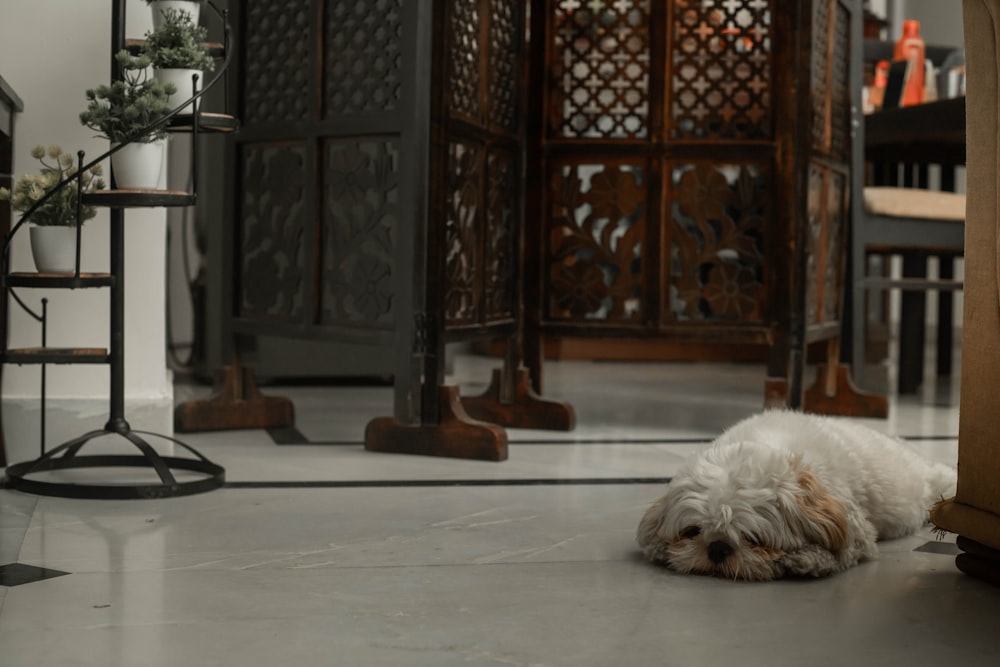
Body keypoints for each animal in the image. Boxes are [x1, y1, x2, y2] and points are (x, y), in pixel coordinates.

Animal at [636, 412, 956, 580]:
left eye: (754, 539)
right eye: (691, 531)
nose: (717, 548)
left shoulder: (855, 530)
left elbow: (840, 551)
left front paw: (806, 559)